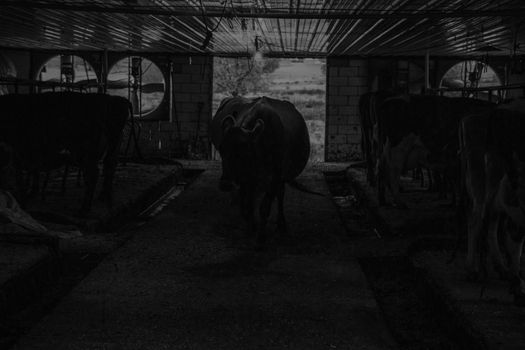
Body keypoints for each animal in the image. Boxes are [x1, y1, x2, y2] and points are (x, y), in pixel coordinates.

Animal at [0, 92, 130, 213]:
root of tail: (114, 99)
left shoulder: (19, 150)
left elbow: (20, 178)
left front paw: (23, 200)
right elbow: (32, 172)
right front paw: (32, 192)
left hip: (86, 153)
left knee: (93, 175)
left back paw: (84, 209)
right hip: (113, 147)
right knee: (109, 166)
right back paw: (104, 196)